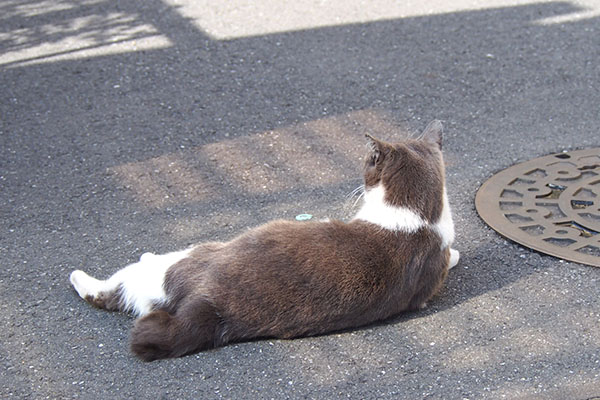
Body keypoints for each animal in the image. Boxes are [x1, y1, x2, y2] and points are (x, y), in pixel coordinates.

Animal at [71, 120, 464, 360]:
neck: (420, 215)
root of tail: (209, 308)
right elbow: (451, 255)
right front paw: (457, 255)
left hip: (191, 258)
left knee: (116, 288)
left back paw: (88, 274)